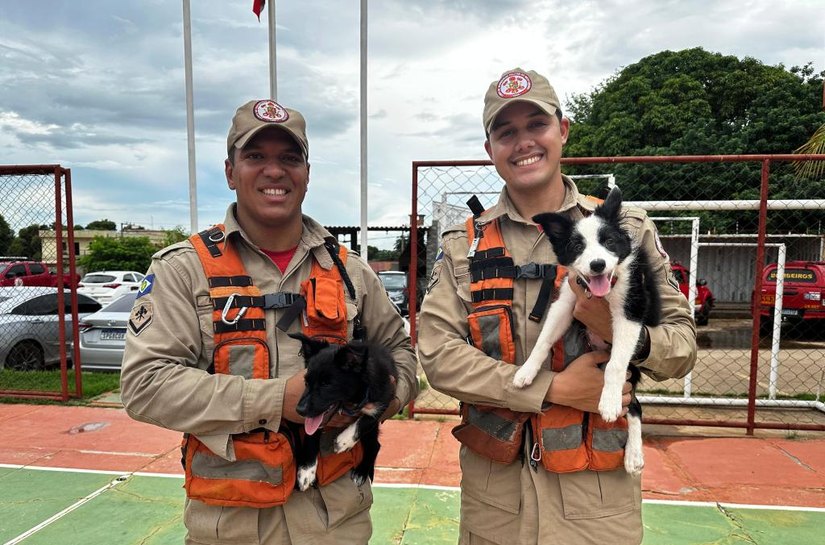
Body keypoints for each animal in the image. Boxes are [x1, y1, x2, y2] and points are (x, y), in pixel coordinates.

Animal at [288, 332, 398, 488]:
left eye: (326, 384)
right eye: (306, 382)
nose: (299, 410)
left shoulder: (385, 398)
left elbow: (366, 421)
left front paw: (344, 441)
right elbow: (311, 435)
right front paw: (306, 471)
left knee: (375, 445)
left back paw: (361, 472)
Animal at [512, 186, 660, 472]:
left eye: (609, 242)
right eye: (577, 246)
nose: (598, 265)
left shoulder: (631, 310)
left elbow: (615, 365)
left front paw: (610, 402)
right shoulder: (567, 300)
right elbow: (543, 340)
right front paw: (526, 371)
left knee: (635, 406)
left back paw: (634, 455)